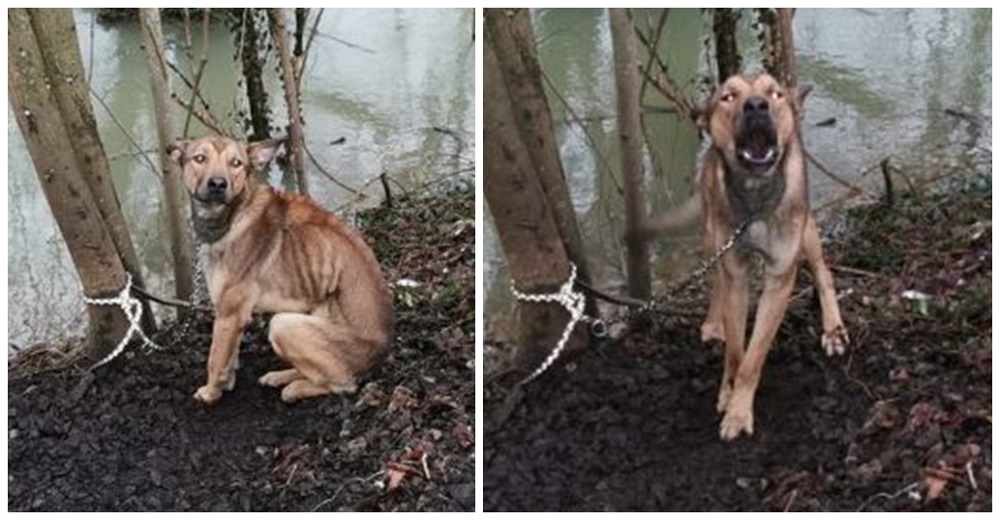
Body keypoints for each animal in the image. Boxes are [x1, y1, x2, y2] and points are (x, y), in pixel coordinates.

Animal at [166, 136, 392, 404]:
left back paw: (295, 389)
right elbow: (229, 356)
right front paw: (226, 383)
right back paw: (281, 376)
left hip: (284, 325)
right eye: (200, 158)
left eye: (236, 163)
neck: (233, 215)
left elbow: (215, 359)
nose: (218, 184)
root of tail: (378, 358)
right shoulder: (232, 315)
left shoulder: (230, 314)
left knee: (342, 384)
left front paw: (211, 392)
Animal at [636, 72, 848, 438]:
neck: (754, 199)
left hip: (806, 230)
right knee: (718, 282)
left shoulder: (779, 279)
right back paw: (712, 323)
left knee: (823, 272)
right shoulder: (734, 267)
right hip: (712, 235)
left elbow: (753, 357)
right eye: (728, 96)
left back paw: (833, 328)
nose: (756, 106)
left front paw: (738, 412)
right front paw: (728, 390)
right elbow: (736, 350)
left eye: (774, 93)